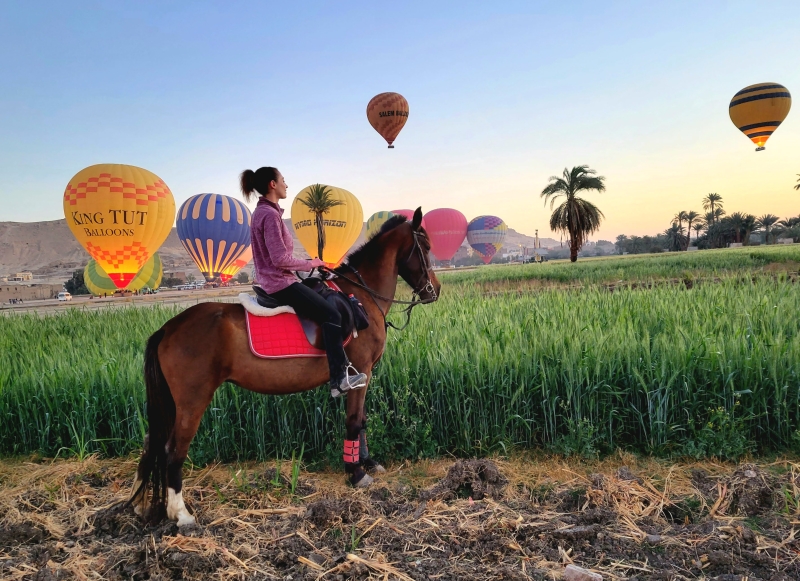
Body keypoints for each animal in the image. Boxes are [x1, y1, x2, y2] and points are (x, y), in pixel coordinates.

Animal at [133, 206, 444, 524]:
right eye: (425, 246)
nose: (435, 290)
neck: (361, 297)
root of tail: (168, 329)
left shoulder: (364, 375)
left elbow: (363, 420)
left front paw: (367, 462)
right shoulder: (361, 371)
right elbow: (354, 421)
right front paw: (356, 473)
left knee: (152, 442)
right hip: (192, 401)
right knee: (173, 449)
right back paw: (181, 513)